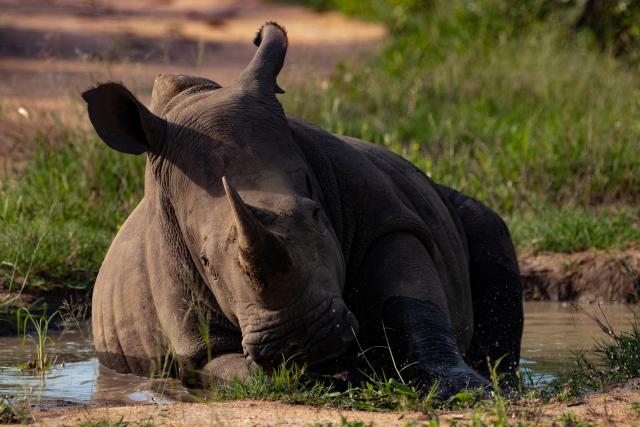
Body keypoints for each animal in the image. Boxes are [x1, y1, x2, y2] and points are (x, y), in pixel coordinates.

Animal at [83, 22, 523, 397]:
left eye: (316, 214)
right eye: (205, 261)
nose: (302, 336)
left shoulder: (387, 220)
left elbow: (414, 306)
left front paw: (468, 390)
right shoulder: (191, 329)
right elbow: (228, 366)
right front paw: (333, 376)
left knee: (487, 227)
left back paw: (504, 378)